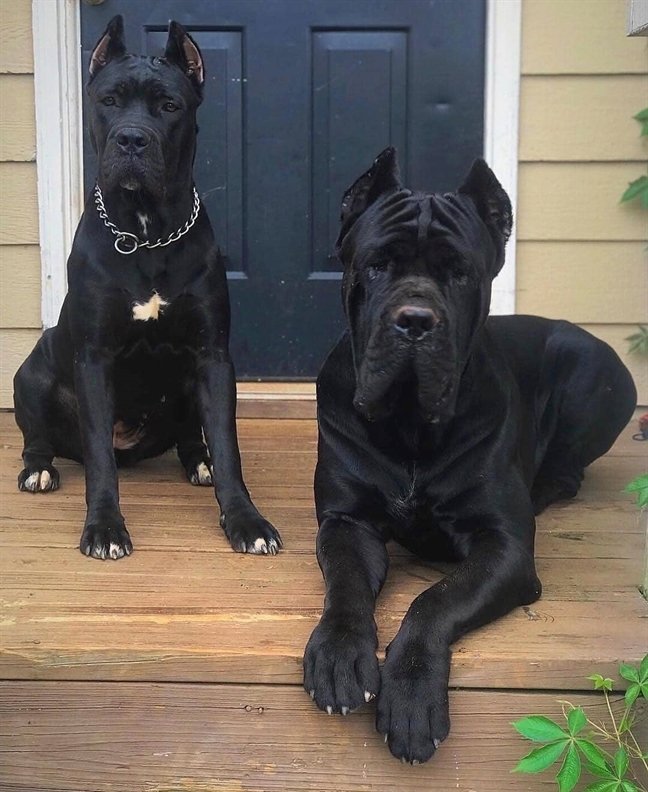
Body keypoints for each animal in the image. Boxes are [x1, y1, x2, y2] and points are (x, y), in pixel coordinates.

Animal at [12, 20, 280, 564]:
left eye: (169, 105)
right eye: (110, 100)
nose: (132, 139)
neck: (145, 231)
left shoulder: (212, 357)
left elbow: (228, 446)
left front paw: (245, 520)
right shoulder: (94, 359)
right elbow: (98, 457)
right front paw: (104, 527)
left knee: (192, 436)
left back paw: (199, 463)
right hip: (31, 372)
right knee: (40, 436)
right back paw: (39, 469)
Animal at [306, 147, 636, 760]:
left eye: (460, 272)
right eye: (377, 265)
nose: (415, 321)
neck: (410, 425)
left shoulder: (503, 547)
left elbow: (435, 600)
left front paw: (412, 693)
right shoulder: (347, 522)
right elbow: (346, 584)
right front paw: (339, 652)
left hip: (594, 370)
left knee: (570, 469)